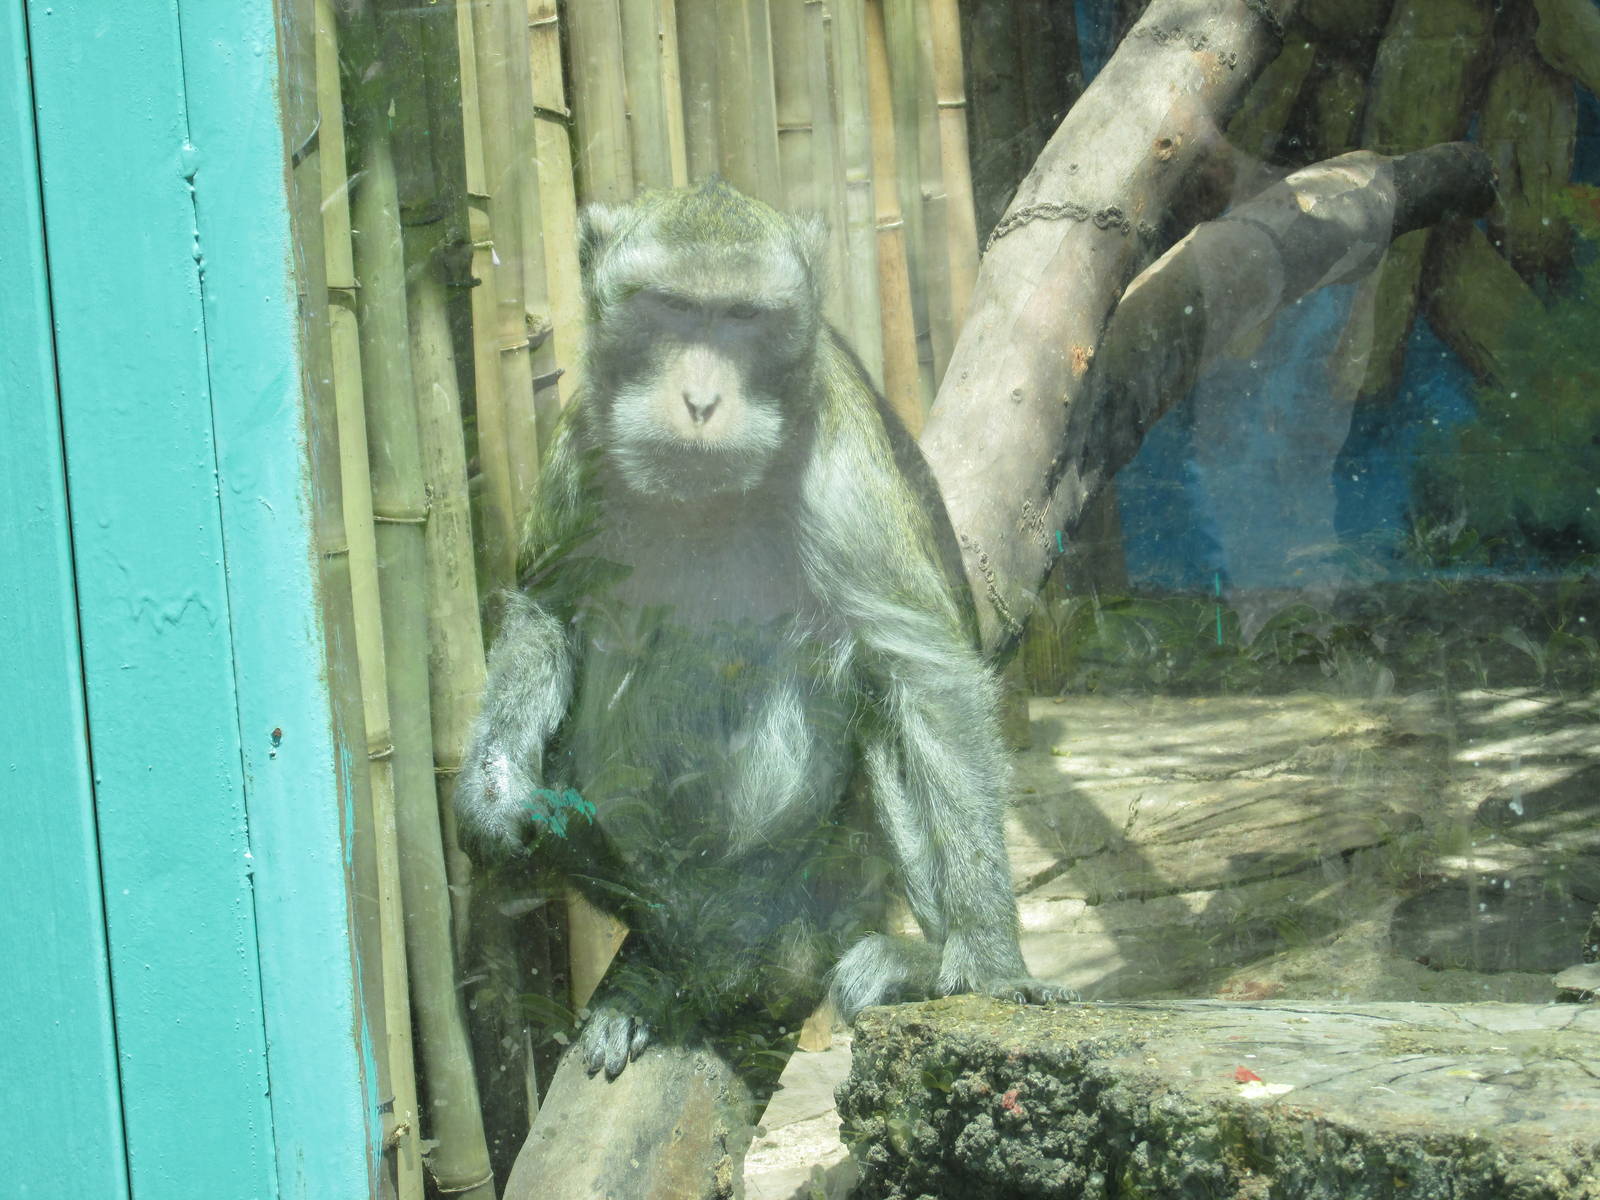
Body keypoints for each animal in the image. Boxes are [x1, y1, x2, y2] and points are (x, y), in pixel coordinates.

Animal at [454, 178, 1070, 1083]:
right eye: (672, 311)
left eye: (743, 321)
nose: (701, 401)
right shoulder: (585, 429)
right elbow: (549, 607)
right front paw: (495, 788)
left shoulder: (836, 453)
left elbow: (920, 669)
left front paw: (990, 961)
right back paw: (658, 951)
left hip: (830, 857)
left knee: (857, 682)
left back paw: (907, 964)